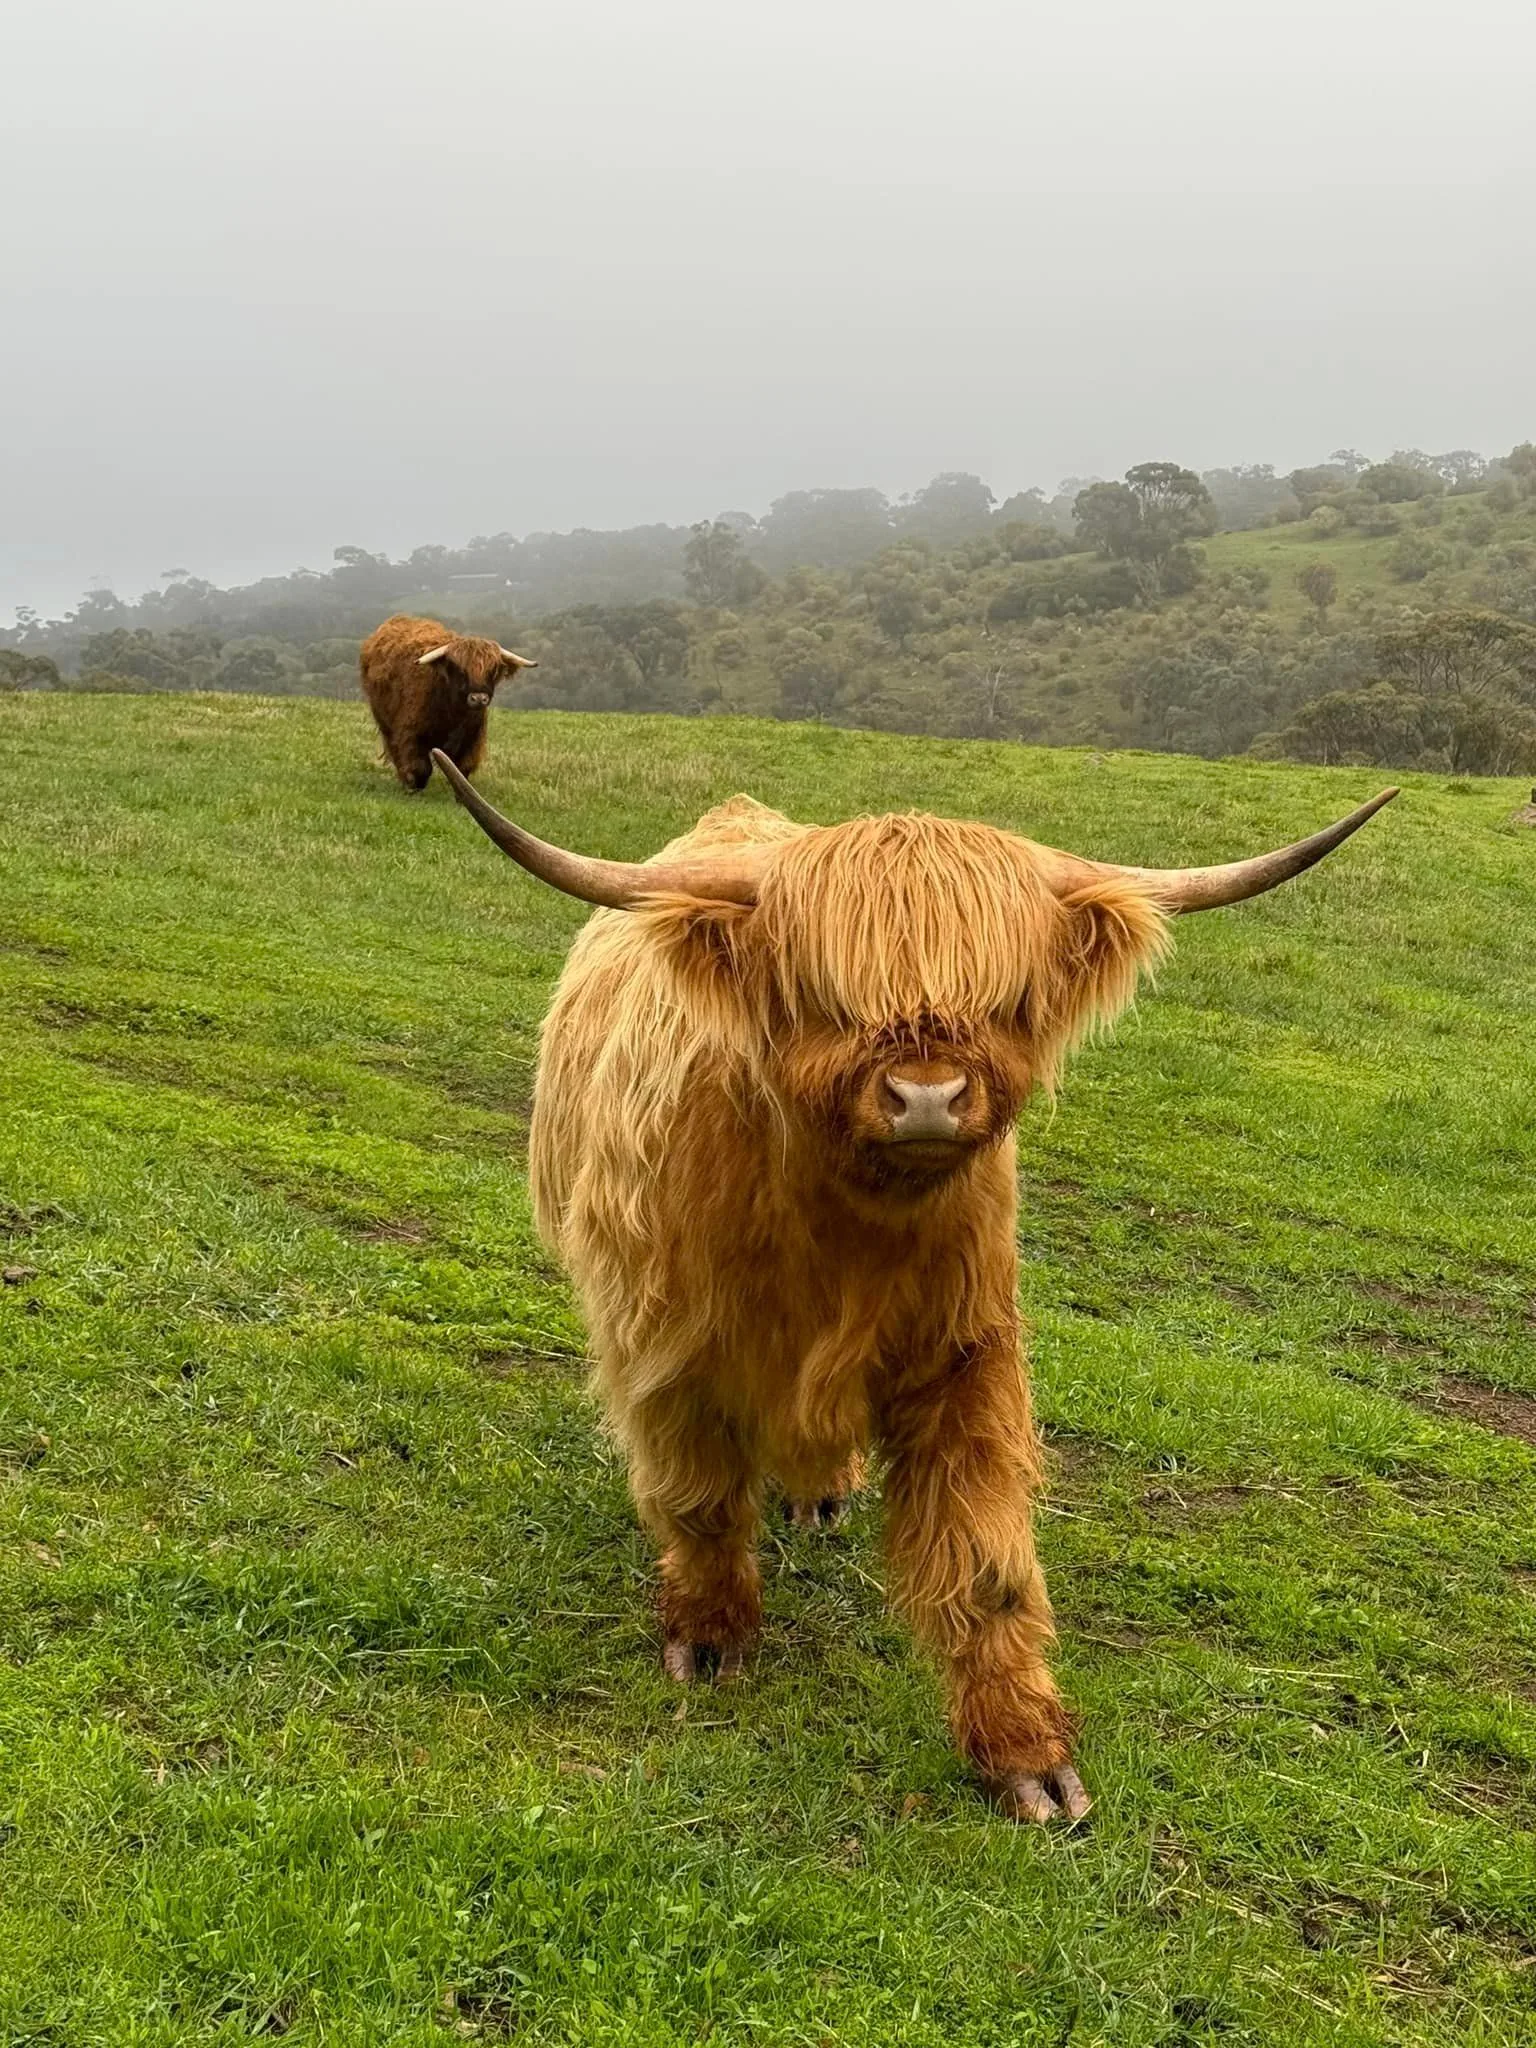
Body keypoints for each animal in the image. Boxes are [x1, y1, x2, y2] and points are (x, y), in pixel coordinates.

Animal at [359, 614, 537, 791]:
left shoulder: (471, 740)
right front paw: (413, 785)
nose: (479, 698)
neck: (453, 713)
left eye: (492, 670)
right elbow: (421, 766)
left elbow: (462, 769)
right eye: (460, 670)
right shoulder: (410, 732)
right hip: (384, 721)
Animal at [429, 751, 1396, 1822]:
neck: (843, 1225)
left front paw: (1027, 1756)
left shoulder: (964, 1346)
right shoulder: (666, 1342)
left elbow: (985, 1559)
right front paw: (710, 1638)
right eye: (824, 993)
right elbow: (699, 1495)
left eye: (1007, 998)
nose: (927, 1097)